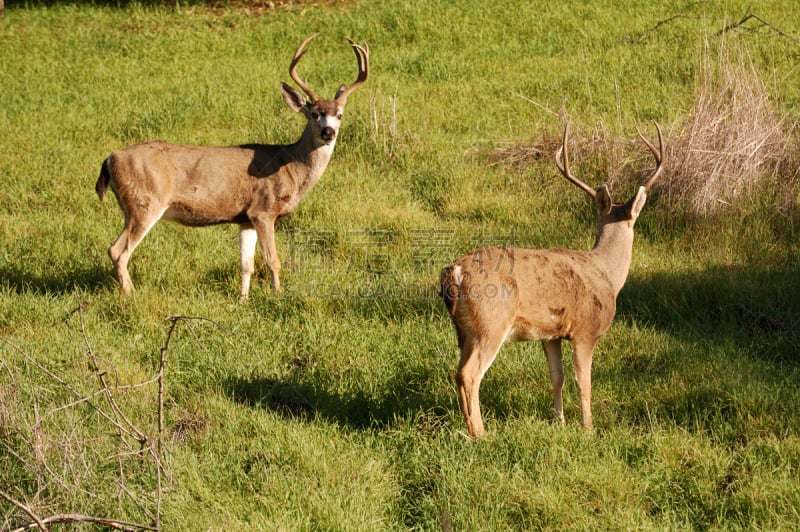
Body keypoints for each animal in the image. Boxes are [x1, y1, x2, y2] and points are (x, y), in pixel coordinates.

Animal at [96, 33, 368, 300]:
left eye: (339, 114)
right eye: (314, 114)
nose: (328, 132)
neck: (291, 166)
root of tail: (110, 158)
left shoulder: (245, 218)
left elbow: (246, 264)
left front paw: (242, 300)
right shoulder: (263, 210)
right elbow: (272, 260)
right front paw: (277, 295)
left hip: (130, 207)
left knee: (115, 249)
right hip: (145, 203)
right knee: (118, 251)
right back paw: (131, 295)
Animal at [438, 122, 664, 438]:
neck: (606, 272)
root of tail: (456, 270)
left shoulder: (551, 334)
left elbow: (557, 376)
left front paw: (559, 421)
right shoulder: (585, 329)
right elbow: (584, 381)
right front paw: (588, 428)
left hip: (464, 330)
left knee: (458, 371)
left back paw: (469, 428)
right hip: (490, 322)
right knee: (469, 374)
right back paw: (480, 434)